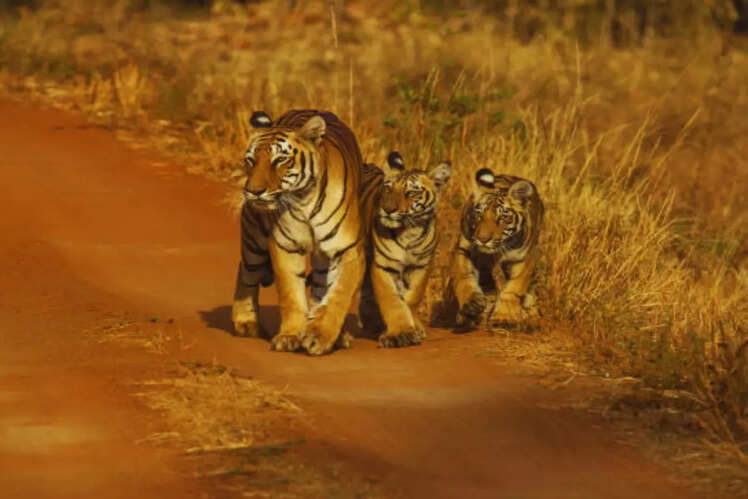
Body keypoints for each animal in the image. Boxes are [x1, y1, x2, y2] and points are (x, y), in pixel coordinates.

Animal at [231, 109, 368, 356]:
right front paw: (289, 336)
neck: (304, 201)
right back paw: (246, 322)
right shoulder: (285, 246)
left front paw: (319, 335)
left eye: (279, 160)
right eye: (251, 160)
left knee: (322, 287)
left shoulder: (348, 250)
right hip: (254, 238)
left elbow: (339, 294)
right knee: (246, 270)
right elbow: (291, 295)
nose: (253, 191)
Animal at [358, 151, 452, 347]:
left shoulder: (420, 266)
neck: (409, 231)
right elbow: (392, 299)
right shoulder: (384, 265)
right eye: (387, 188)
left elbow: (411, 297)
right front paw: (399, 333)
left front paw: (414, 328)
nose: (387, 209)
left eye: (411, 193)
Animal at [436, 168, 544, 330]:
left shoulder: (524, 258)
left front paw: (504, 317)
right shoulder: (464, 249)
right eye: (479, 214)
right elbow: (464, 277)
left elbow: (514, 288)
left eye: (502, 218)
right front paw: (471, 305)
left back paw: (532, 317)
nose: (482, 239)